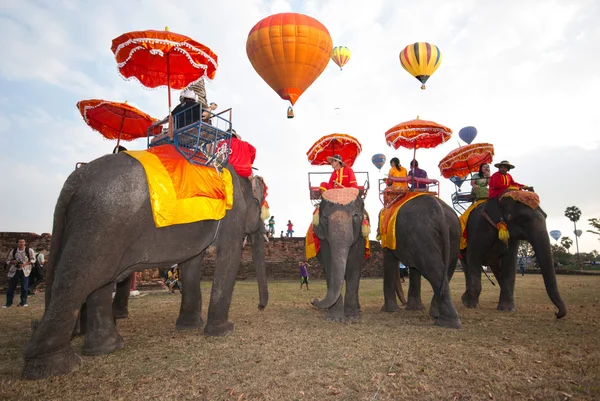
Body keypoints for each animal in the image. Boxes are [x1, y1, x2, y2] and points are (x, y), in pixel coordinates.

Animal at [24, 152, 268, 380]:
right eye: (261, 206)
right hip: (100, 224)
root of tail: (73, 181)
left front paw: (189, 327)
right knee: (76, 282)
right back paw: (58, 367)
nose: (261, 307)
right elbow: (228, 254)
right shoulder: (233, 212)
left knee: (98, 282)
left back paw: (107, 348)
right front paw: (224, 331)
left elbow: (191, 263)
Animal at [310, 188, 370, 322]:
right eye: (325, 218)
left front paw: (352, 318)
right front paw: (334, 319)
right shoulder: (324, 240)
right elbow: (329, 266)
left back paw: (358, 309)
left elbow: (354, 267)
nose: (313, 300)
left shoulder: (359, 238)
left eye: (355, 216)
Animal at [378, 194, 462, 328]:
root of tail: (439, 211)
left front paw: (389, 311)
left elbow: (390, 261)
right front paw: (414, 309)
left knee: (433, 269)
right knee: (446, 269)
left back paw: (445, 322)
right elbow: (413, 269)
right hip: (453, 233)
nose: (404, 303)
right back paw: (437, 315)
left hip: (421, 233)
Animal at [460, 189, 568, 318]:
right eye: (524, 219)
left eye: (546, 216)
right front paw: (470, 305)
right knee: (467, 267)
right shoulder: (477, 229)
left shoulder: (512, 240)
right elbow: (473, 258)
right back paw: (466, 300)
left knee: (496, 269)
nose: (557, 313)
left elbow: (510, 262)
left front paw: (508, 309)